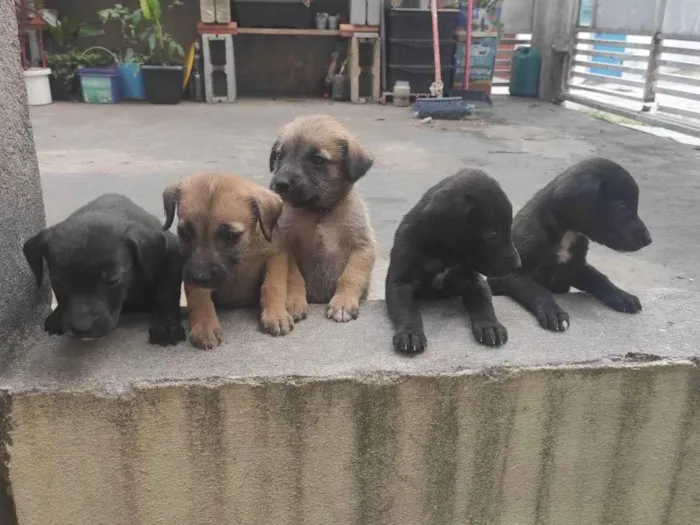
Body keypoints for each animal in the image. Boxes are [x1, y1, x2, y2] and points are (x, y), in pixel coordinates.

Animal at [23, 194, 185, 346]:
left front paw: (167, 325)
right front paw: (57, 316)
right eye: (58, 283)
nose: (82, 328)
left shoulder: (171, 251)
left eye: (113, 280)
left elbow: (167, 293)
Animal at [162, 171, 292, 348]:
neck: (243, 255)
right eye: (185, 233)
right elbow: (198, 296)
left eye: (230, 236)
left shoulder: (276, 255)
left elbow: (273, 284)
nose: (199, 277)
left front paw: (276, 314)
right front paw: (204, 326)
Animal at [268, 114, 378, 324]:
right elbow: (294, 276)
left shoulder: (363, 246)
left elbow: (351, 275)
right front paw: (295, 302)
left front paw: (343, 302)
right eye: (279, 156)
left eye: (317, 160)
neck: (319, 213)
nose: (281, 184)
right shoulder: (287, 247)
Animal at [382, 170, 520, 354]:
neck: (442, 255)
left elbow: (484, 303)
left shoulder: (474, 281)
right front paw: (410, 334)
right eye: (491, 234)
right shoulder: (400, 284)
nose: (517, 265)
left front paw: (491, 326)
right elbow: (407, 311)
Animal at [490, 155, 652, 332]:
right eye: (621, 208)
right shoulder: (516, 276)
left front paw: (622, 296)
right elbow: (540, 291)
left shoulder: (576, 268)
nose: (649, 240)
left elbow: (600, 278)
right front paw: (554, 313)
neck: (567, 233)